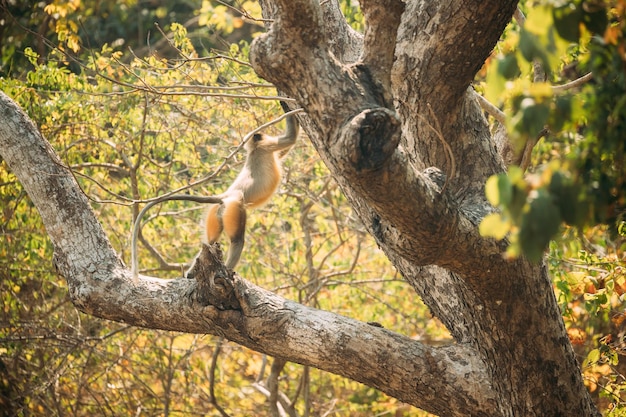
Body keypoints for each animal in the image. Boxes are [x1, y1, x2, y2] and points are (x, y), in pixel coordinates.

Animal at [130, 103, 298, 280]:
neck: (254, 150)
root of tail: (225, 196)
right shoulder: (266, 146)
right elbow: (291, 138)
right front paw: (286, 106)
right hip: (234, 206)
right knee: (237, 240)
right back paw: (226, 271)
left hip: (217, 211)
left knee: (210, 242)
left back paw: (192, 272)